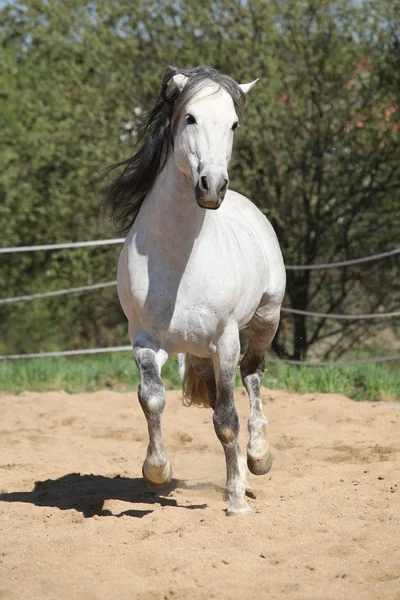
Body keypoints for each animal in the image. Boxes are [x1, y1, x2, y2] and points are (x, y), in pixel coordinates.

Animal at [106, 67, 286, 516]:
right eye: (190, 118)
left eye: (234, 124)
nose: (212, 187)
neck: (180, 260)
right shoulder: (145, 340)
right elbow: (152, 398)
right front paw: (157, 472)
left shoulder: (225, 341)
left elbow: (226, 420)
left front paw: (236, 501)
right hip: (193, 350)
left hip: (264, 320)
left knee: (252, 375)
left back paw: (258, 459)